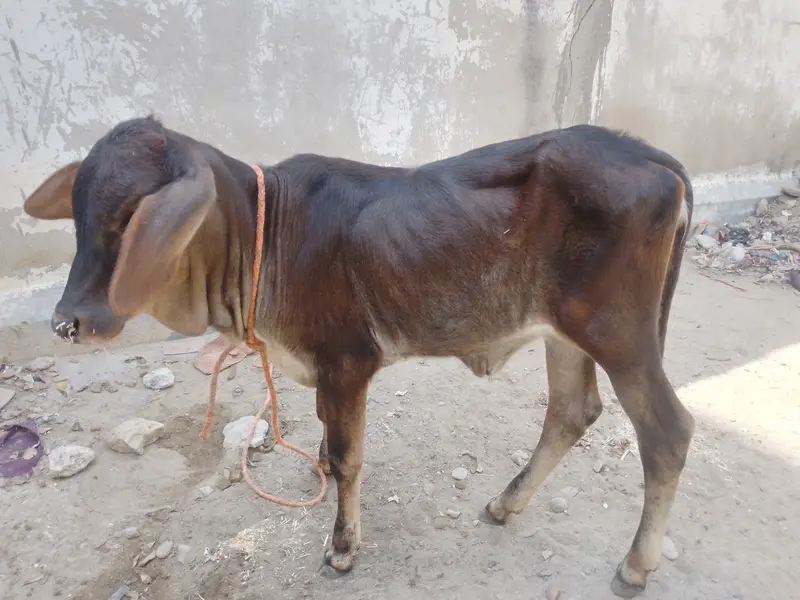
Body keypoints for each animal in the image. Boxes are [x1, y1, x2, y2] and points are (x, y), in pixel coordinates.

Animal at [22, 116, 694, 598]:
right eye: (80, 214)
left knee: (669, 431)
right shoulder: (325, 369)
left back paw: (634, 566)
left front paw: (343, 546)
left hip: (619, 335)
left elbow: (349, 460)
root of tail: (651, 157)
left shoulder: (347, 361)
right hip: (566, 334)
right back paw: (506, 503)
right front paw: (316, 466)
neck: (266, 236)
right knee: (571, 412)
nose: (67, 321)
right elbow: (326, 432)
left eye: (131, 219)